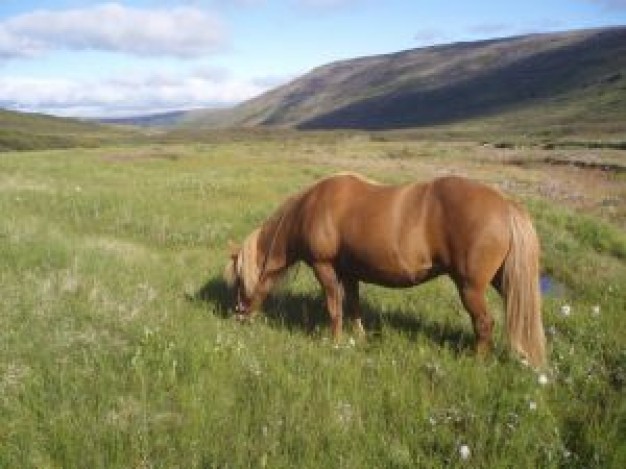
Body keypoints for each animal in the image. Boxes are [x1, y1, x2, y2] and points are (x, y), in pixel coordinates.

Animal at [223, 172, 540, 366]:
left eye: (238, 280)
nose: (237, 316)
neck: (311, 208)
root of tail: (504, 204)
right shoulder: (349, 273)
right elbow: (353, 306)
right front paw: (359, 338)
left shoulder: (325, 269)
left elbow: (334, 308)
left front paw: (334, 342)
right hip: (502, 280)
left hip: (470, 287)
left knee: (484, 323)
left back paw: (476, 361)